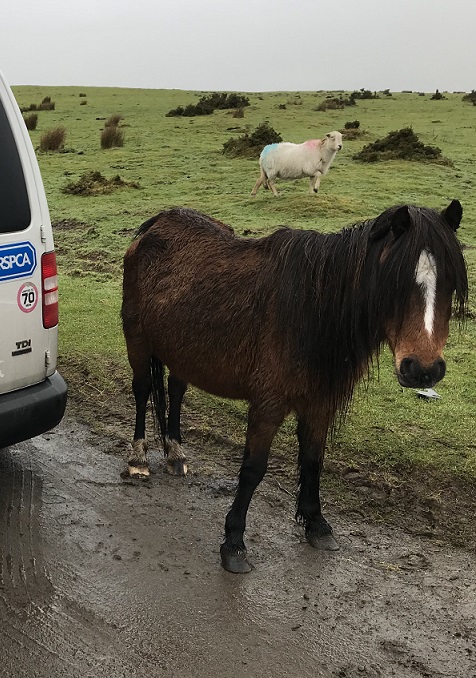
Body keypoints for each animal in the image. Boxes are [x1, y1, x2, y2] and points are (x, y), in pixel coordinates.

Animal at [121, 200, 468, 573]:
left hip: (183, 351)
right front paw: (234, 543)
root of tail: (157, 223)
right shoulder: (267, 405)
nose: (423, 370)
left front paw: (317, 525)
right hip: (138, 342)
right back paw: (138, 458)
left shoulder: (319, 404)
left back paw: (175, 453)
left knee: (176, 389)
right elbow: (253, 470)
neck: (313, 311)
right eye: (395, 282)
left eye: (450, 282)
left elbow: (314, 461)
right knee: (142, 391)